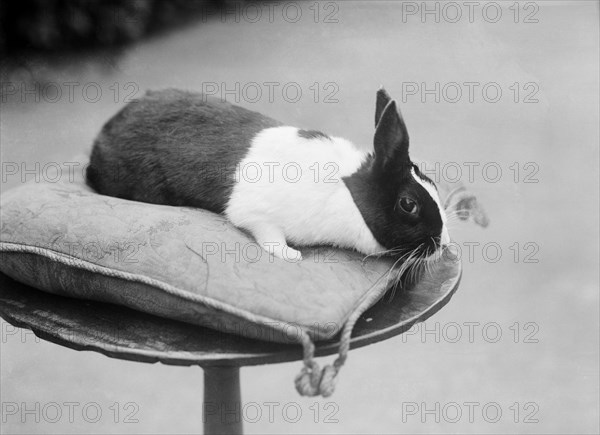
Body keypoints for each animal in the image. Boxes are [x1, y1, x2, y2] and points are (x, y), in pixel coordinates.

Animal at [86, 87, 448, 260]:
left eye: (432, 182)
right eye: (408, 204)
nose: (443, 243)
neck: (345, 193)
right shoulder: (258, 214)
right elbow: (268, 236)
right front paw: (290, 255)